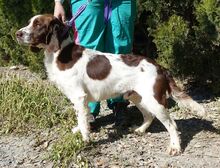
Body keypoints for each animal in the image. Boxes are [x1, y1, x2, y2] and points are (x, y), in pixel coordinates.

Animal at [15, 14, 206, 156]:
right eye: (29, 22)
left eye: (38, 24)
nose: (17, 33)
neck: (60, 53)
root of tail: (160, 67)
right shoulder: (79, 100)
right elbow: (81, 119)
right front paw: (79, 130)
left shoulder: (78, 96)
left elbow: (83, 121)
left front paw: (85, 141)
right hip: (137, 96)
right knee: (148, 115)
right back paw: (140, 130)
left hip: (154, 100)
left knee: (172, 124)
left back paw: (175, 147)